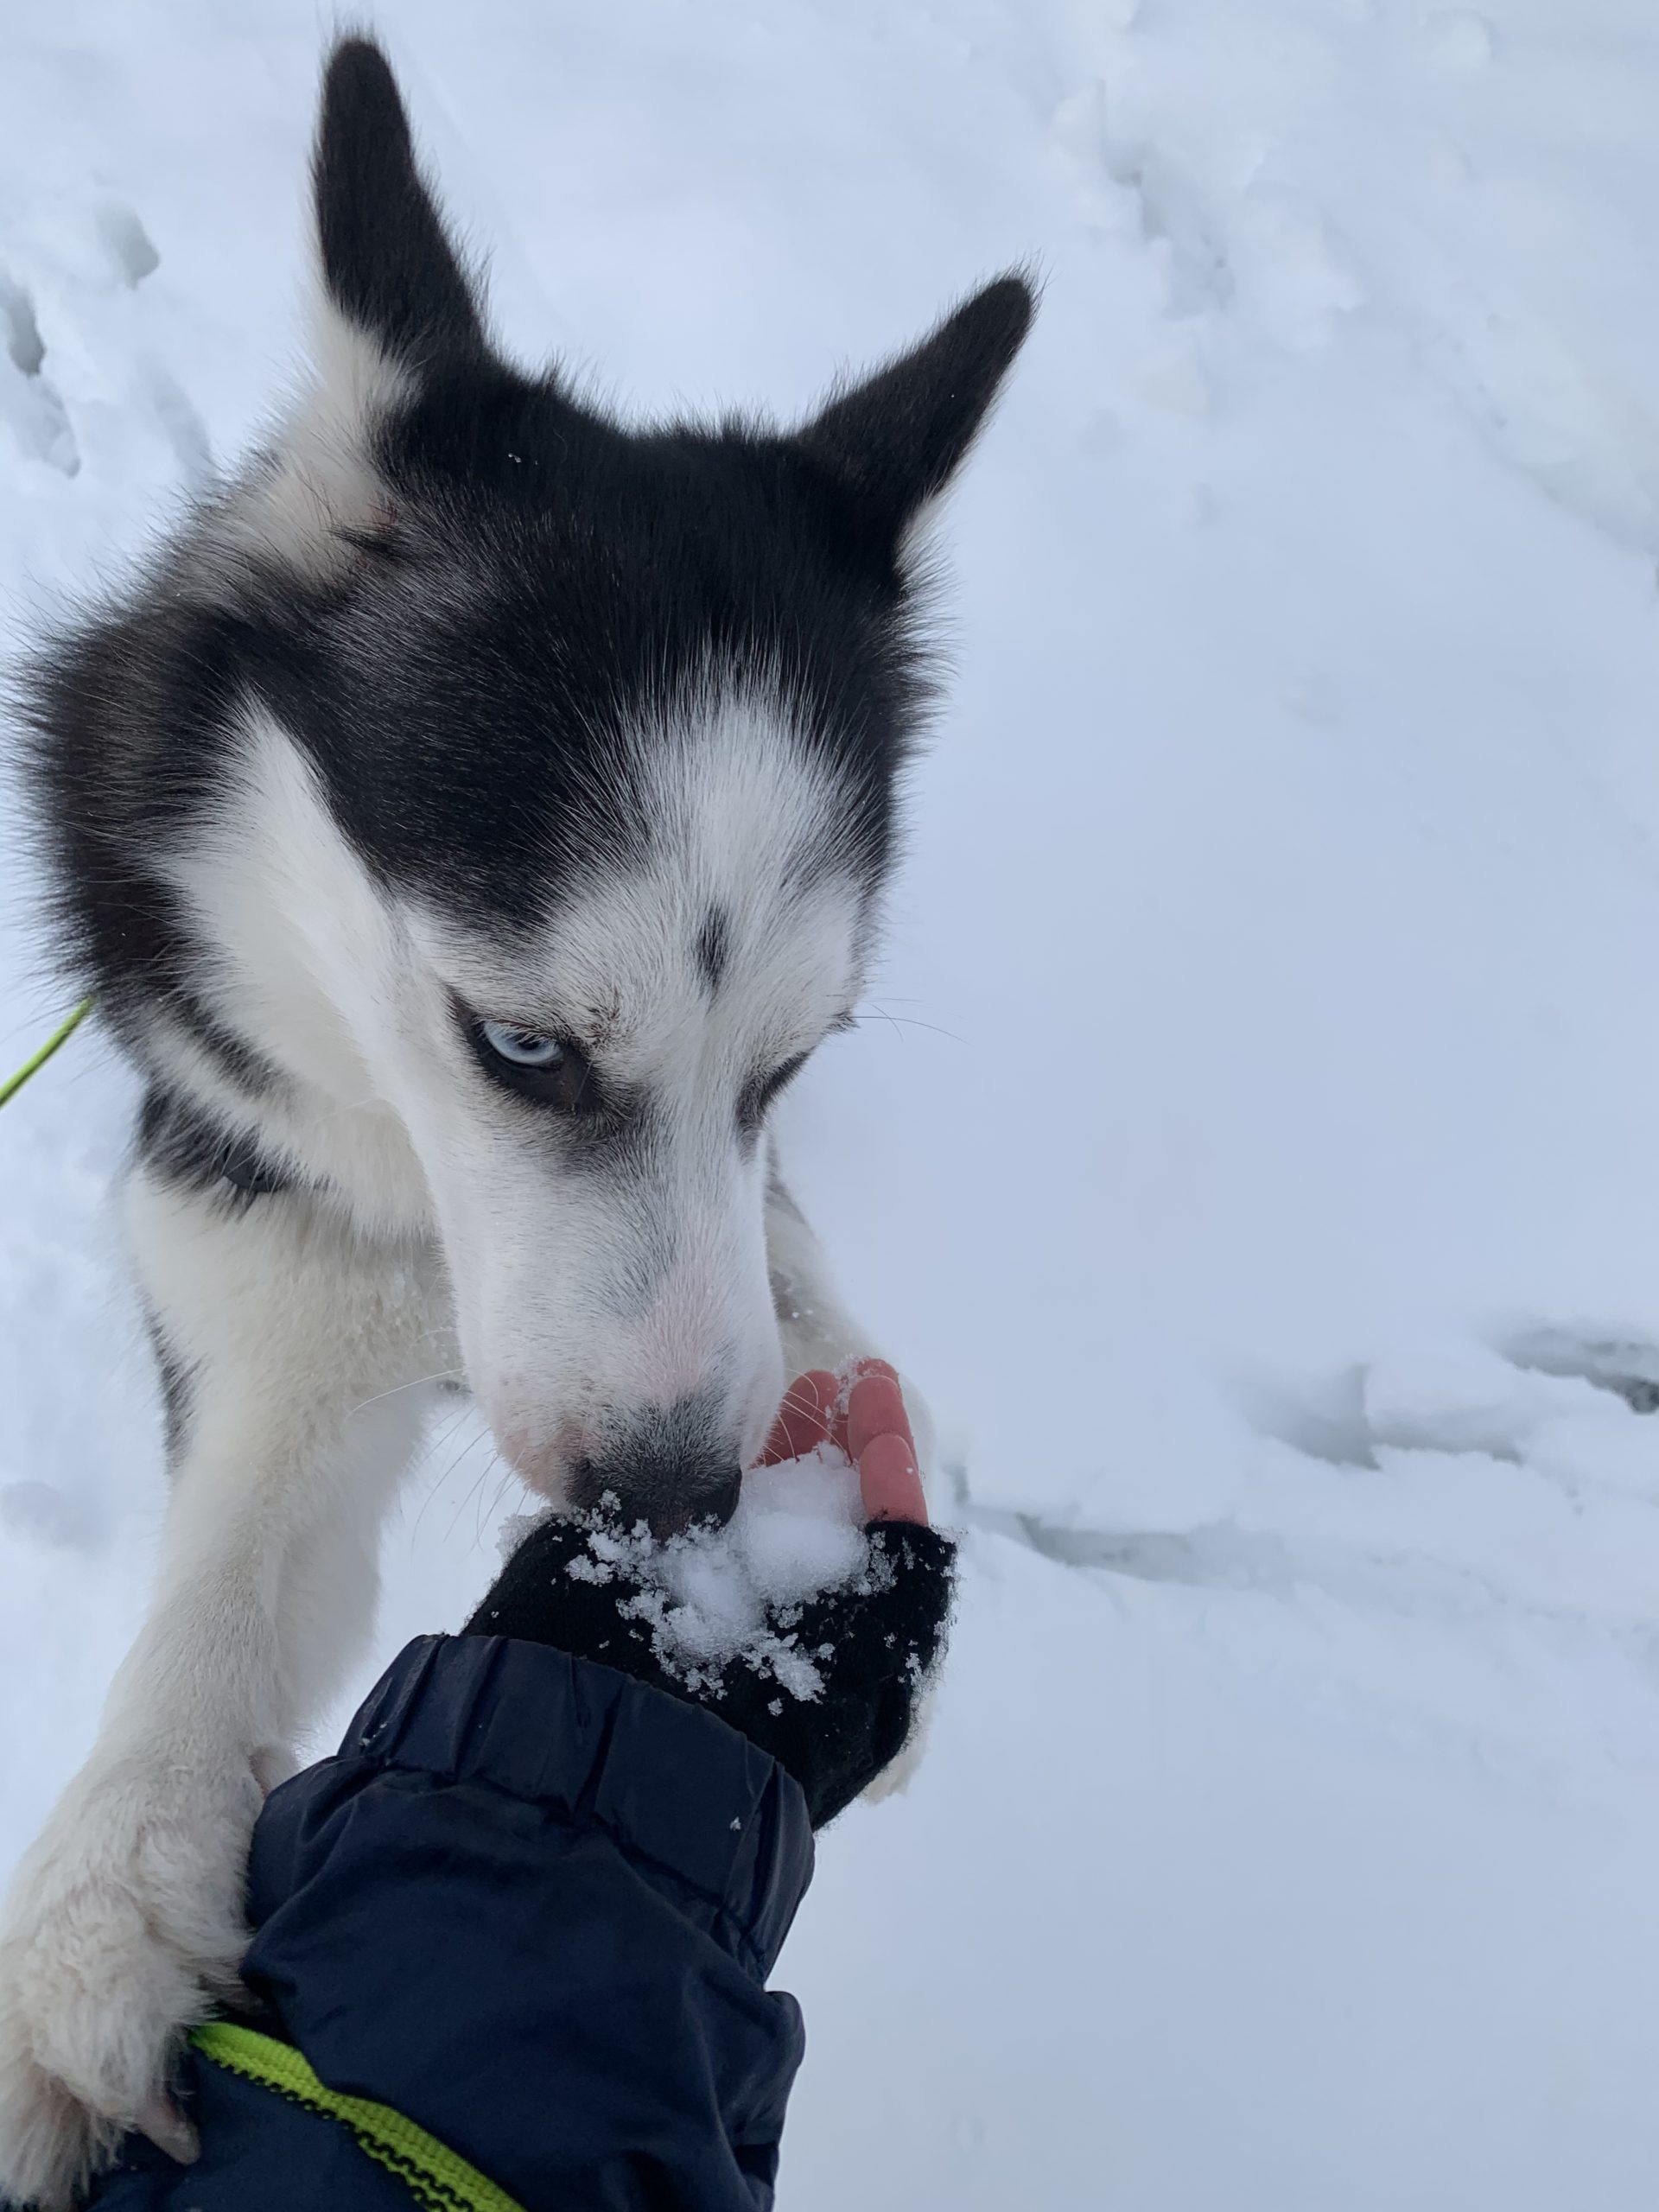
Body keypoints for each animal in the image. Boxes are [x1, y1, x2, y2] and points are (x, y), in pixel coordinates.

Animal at [0, 39, 1035, 2212]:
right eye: (522, 1045)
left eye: (790, 1061)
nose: (672, 1490)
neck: (422, 1209)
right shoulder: (254, 1235)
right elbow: (221, 1604)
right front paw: (98, 1921)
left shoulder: (756, 1201)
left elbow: (793, 1275)